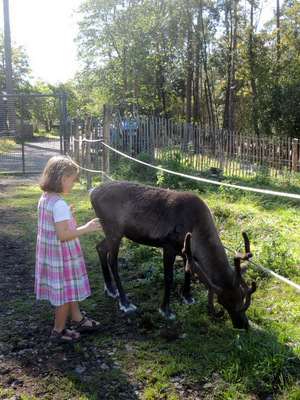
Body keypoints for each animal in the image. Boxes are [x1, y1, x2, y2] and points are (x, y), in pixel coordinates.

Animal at [90, 180, 256, 328]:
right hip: (113, 231)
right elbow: (169, 278)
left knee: (100, 247)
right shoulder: (168, 247)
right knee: (113, 261)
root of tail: (92, 192)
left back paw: (110, 289)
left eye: (242, 295)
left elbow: (187, 271)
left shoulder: (185, 251)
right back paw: (125, 302)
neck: (197, 228)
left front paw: (187, 297)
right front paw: (166, 310)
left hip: (115, 232)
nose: (243, 325)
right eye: (222, 301)